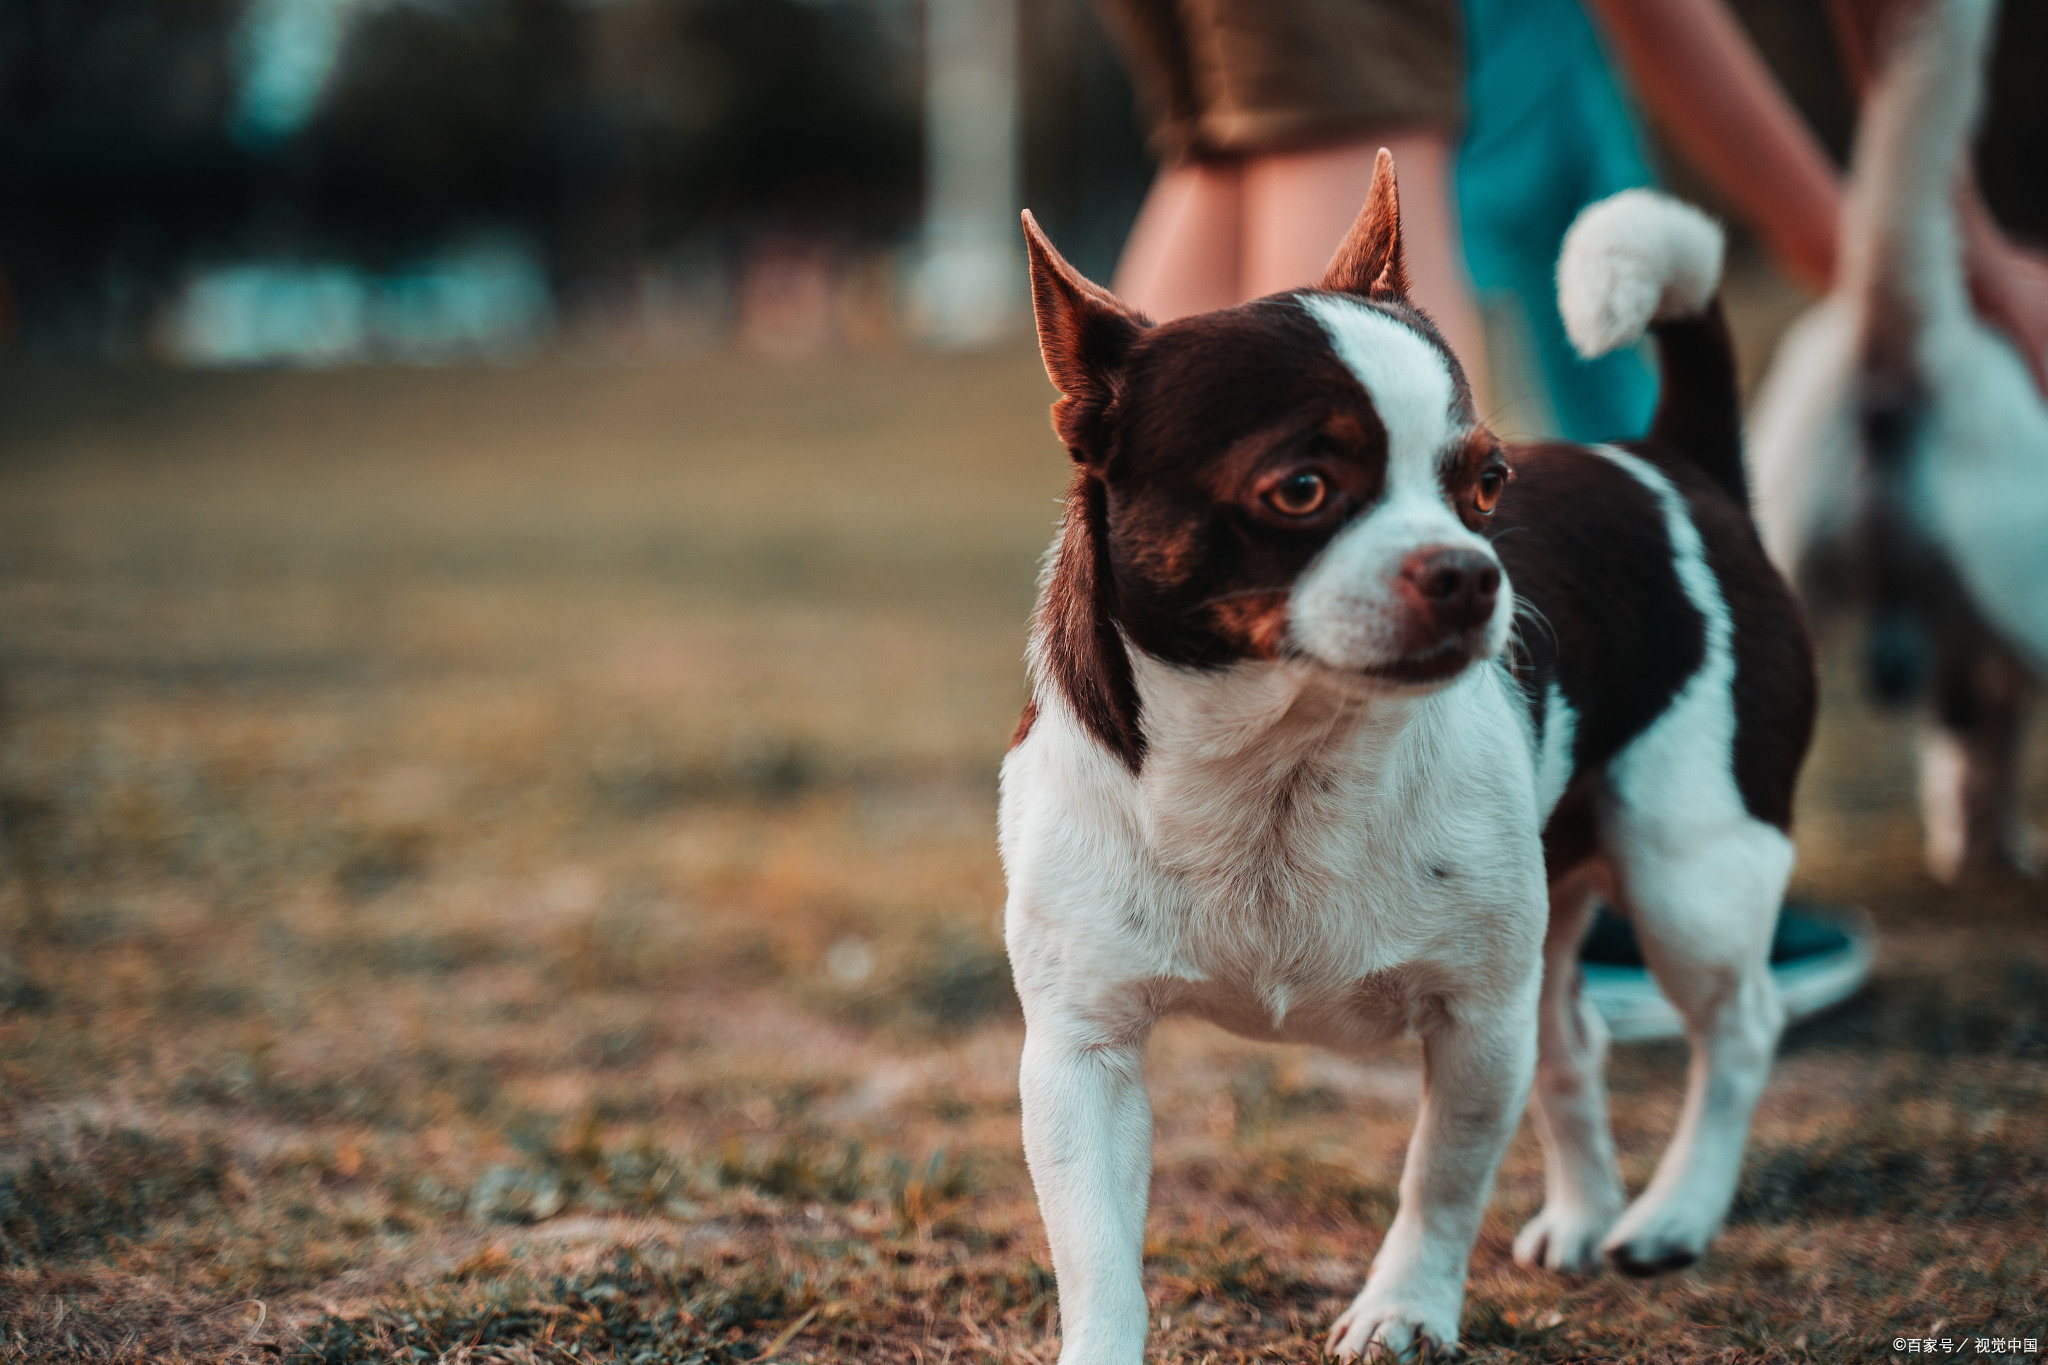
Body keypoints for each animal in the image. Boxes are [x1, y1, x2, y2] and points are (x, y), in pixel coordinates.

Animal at [999, 157, 1818, 1358]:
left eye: (1487, 485)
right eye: (1299, 488)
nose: (1473, 569)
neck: (1282, 765)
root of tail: (1670, 464)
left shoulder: (1474, 1026)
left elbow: (1440, 1180)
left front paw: (1403, 1309)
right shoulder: (1080, 1055)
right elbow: (1097, 1254)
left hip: (1689, 877)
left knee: (1738, 1028)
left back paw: (1672, 1215)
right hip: (1566, 921)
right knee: (1573, 1039)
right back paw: (1587, 1215)